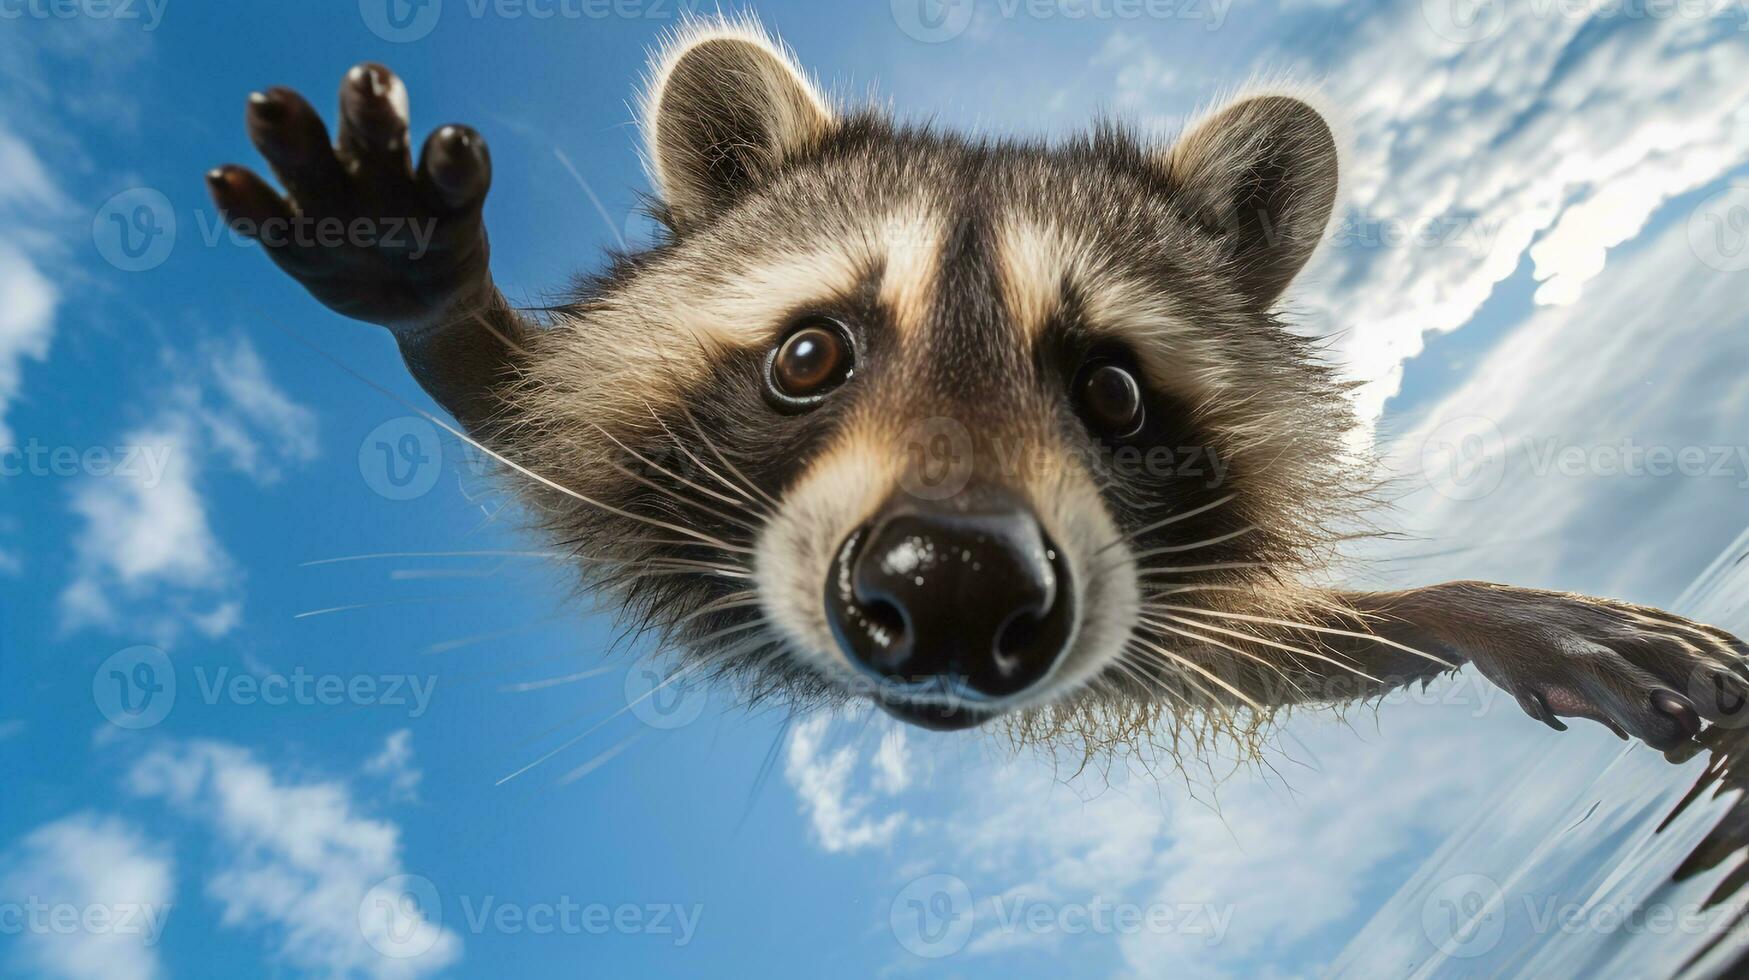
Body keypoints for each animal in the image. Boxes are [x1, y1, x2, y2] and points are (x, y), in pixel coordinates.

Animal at [208, 15, 1749, 749]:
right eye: (809, 354)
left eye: (1115, 391)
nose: (953, 585)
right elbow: (519, 402)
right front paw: (438, 294)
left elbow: (1235, 640)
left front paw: (1468, 607)